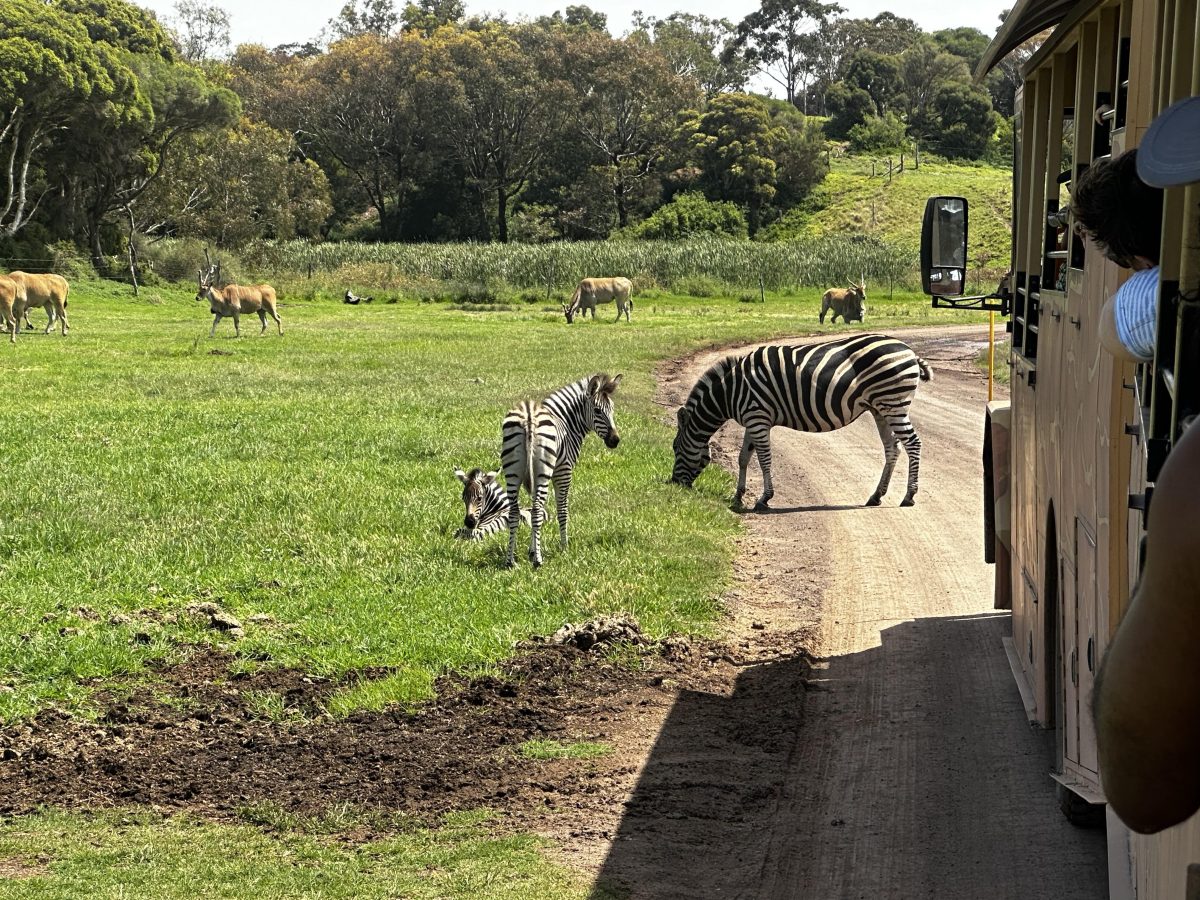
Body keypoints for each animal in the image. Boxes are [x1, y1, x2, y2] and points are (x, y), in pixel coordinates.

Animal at [502, 373, 622, 568]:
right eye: (597, 411)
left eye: (612, 409)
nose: (615, 440)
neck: (567, 423)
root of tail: (529, 415)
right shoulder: (563, 471)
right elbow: (562, 509)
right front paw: (564, 546)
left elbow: (535, 510)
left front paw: (532, 549)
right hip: (543, 472)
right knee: (537, 510)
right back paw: (538, 561)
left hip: (513, 472)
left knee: (515, 511)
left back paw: (510, 560)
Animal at [670, 334, 932, 508]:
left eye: (675, 448)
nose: (673, 484)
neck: (729, 392)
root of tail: (909, 351)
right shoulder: (752, 419)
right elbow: (743, 457)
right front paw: (738, 496)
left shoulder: (757, 417)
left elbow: (764, 459)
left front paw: (764, 498)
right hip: (880, 409)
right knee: (892, 448)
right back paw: (876, 496)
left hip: (893, 404)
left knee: (913, 444)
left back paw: (909, 496)